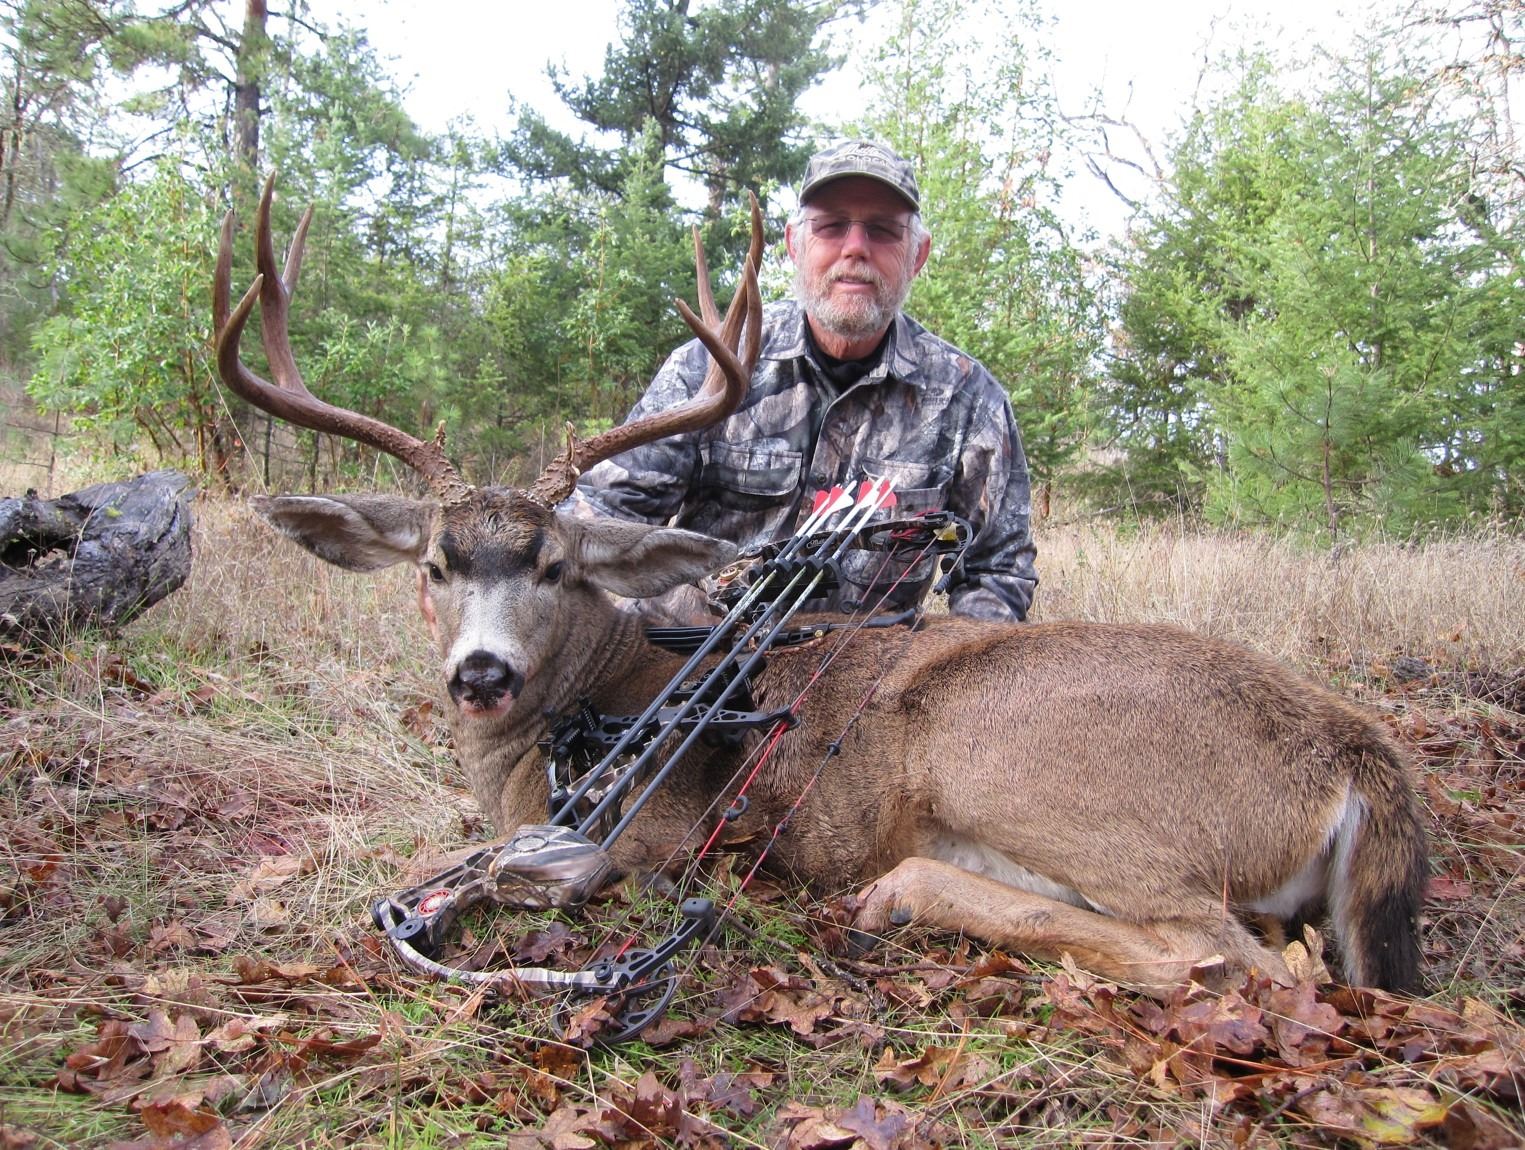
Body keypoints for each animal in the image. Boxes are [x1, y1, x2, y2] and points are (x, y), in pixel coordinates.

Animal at [213, 176, 1426, 1002]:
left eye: (554, 565)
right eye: (433, 565)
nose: (479, 674)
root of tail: (1354, 756)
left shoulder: (646, 841)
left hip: (1034, 771)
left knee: (1243, 963)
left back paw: (903, 891)